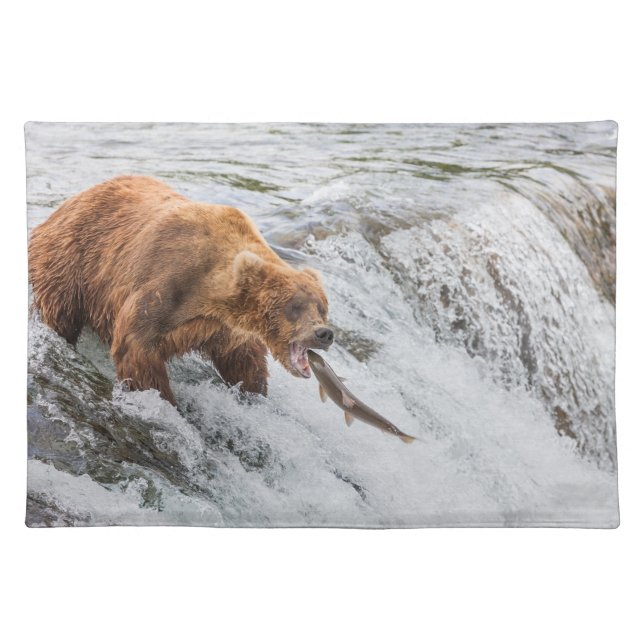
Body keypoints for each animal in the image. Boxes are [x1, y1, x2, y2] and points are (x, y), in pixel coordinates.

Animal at [28, 175, 334, 405]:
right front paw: (165, 400)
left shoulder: (223, 327)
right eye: (294, 306)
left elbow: (243, 359)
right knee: (61, 314)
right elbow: (136, 348)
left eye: (321, 307)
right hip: (71, 264)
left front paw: (253, 392)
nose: (324, 333)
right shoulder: (165, 285)